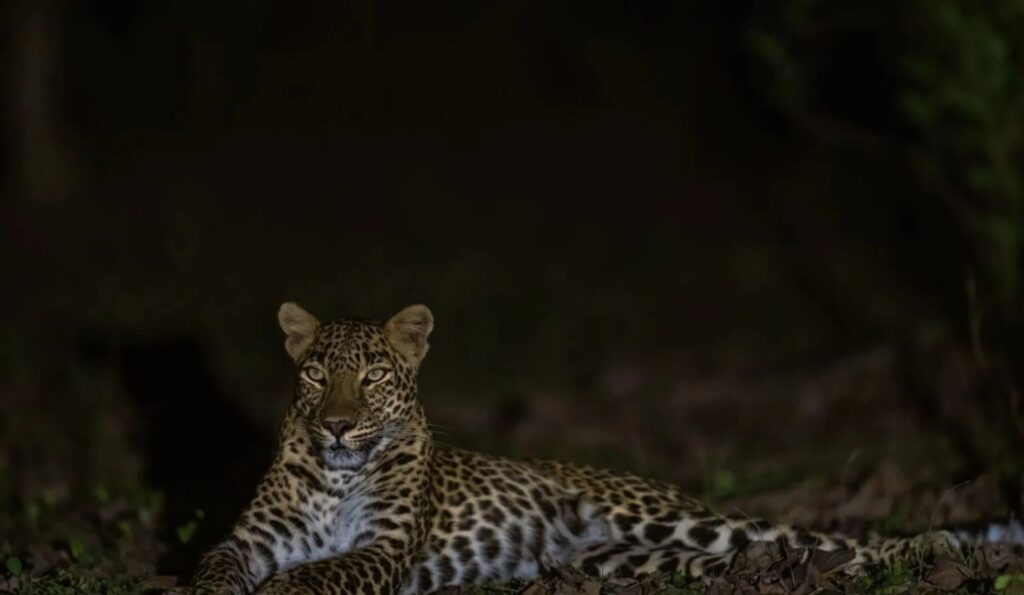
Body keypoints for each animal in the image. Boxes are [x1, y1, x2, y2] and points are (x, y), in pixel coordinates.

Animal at [181, 302, 961, 594]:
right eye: (316, 374)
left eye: (372, 375)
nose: (340, 425)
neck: (339, 474)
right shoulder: (252, 538)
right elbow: (215, 566)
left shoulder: (382, 547)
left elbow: (318, 571)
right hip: (635, 559)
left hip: (677, 518)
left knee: (813, 536)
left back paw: (938, 547)